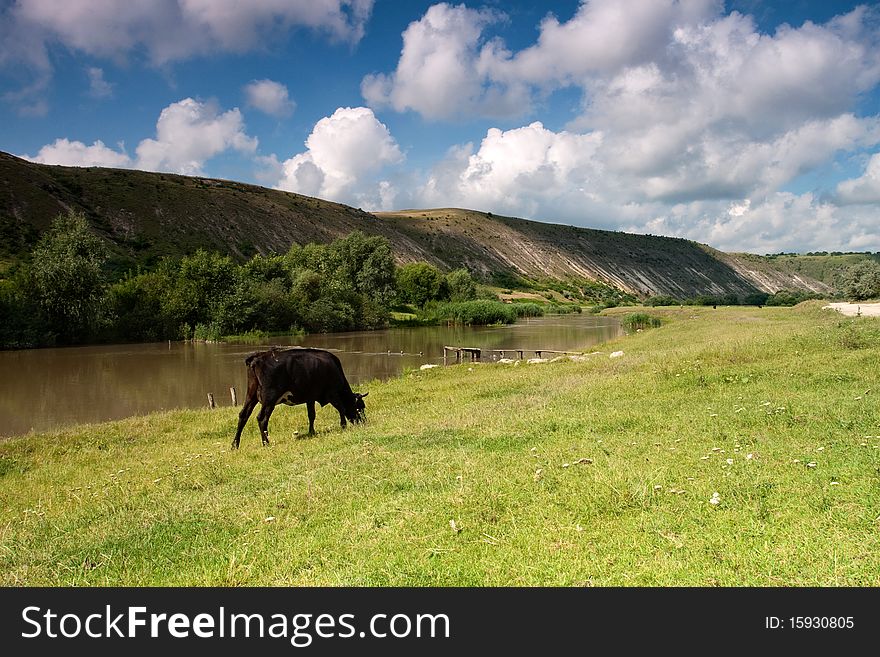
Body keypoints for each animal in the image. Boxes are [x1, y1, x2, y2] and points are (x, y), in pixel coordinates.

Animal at [232, 346, 366, 448]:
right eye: (360, 407)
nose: (364, 422)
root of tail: (258, 357)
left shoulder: (310, 397)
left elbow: (311, 415)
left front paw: (312, 432)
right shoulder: (332, 393)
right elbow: (341, 408)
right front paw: (343, 425)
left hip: (251, 395)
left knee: (243, 415)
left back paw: (235, 444)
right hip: (270, 398)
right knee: (262, 419)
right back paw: (266, 443)